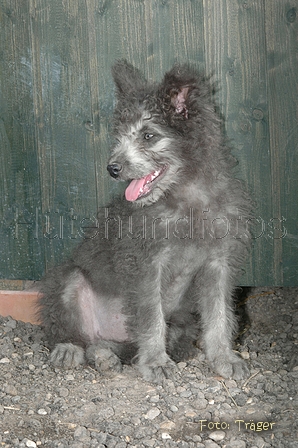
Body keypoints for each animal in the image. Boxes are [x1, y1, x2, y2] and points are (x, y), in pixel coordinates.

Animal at [36, 60, 251, 382]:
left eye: (148, 136)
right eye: (120, 136)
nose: (113, 168)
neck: (187, 200)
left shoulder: (219, 263)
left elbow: (219, 316)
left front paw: (224, 357)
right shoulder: (145, 264)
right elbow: (151, 319)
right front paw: (155, 362)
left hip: (181, 323)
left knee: (108, 345)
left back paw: (106, 356)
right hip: (69, 280)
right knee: (72, 331)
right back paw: (69, 349)